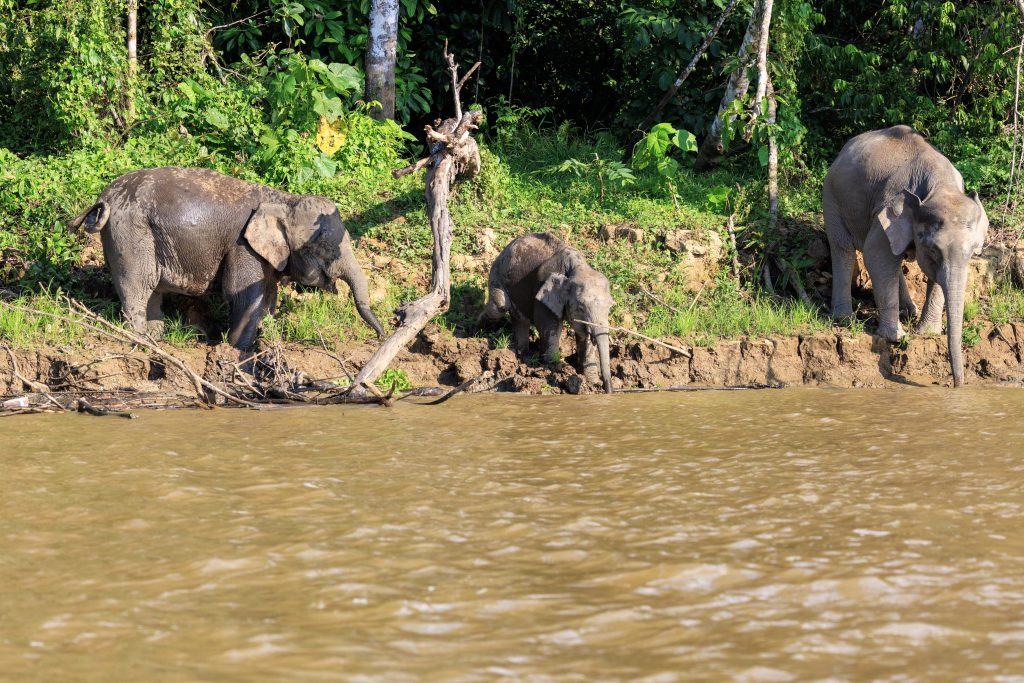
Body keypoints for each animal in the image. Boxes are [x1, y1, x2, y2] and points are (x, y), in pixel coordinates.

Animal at [68, 166, 384, 350]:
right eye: (321, 249)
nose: (381, 336)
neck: (283, 199)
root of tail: (104, 197)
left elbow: (268, 297)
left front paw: (267, 340)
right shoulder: (242, 246)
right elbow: (242, 295)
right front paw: (235, 351)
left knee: (152, 290)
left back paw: (158, 336)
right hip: (131, 234)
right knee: (138, 285)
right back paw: (144, 341)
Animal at [480, 232, 614, 393]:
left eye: (609, 308)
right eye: (581, 308)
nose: (608, 390)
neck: (577, 267)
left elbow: (583, 335)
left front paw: (591, 382)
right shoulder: (543, 294)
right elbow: (549, 327)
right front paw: (555, 369)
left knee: (520, 319)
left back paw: (523, 355)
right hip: (497, 272)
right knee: (498, 308)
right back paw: (479, 332)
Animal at [823, 125, 989, 387]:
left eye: (974, 251)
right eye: (933, 250)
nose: (956, 385)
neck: (940, 187)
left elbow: (935, 276)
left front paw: (927, 333)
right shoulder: (889, 208)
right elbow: (875, 254)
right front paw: (896, 337)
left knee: (895, 258)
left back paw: (909, 312)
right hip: (832, 197)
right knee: (843, 249)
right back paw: (845, 319)